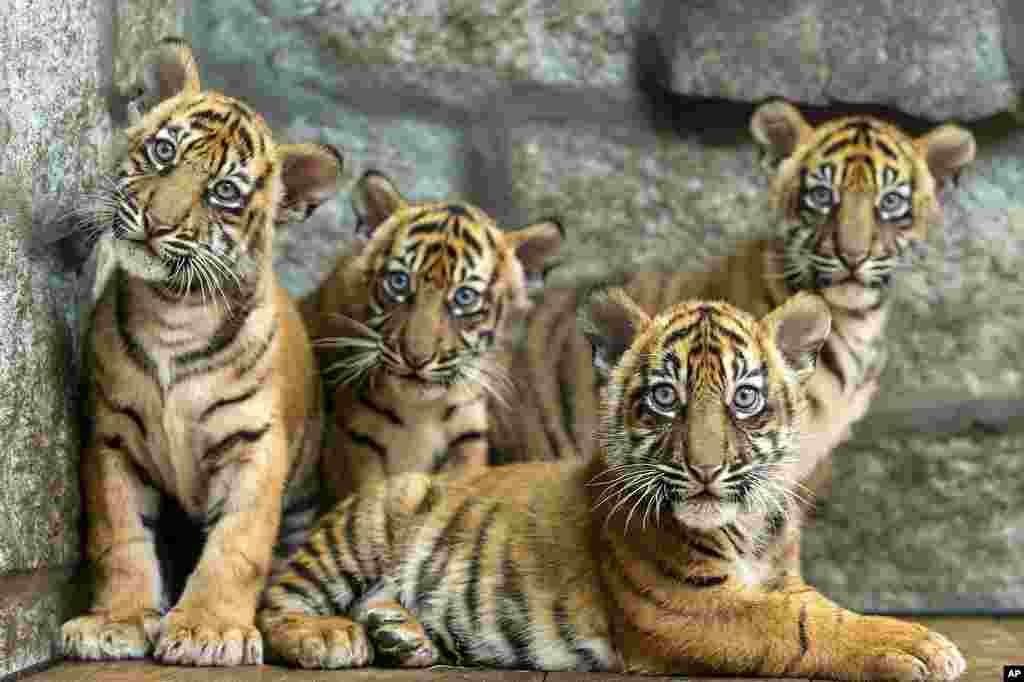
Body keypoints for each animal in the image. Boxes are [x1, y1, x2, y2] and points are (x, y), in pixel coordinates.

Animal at [59, 37, 343, 667]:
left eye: (225, 193)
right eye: (163, 151)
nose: (156, 224)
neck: (174, 311)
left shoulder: (254, 445)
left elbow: (236, 546)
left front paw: (209, 629)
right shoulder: (112, 437)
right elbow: (120, 535)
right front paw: (117, 620)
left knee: (289, 589)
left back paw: (320, 634)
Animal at [257, 287, 965, 680]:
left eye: (744, 398)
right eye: (664, 397)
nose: (705, 469)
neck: (747, 524)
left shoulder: (773, 578)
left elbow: (812, 604)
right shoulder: (685, 604)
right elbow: (803, 625)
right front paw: (918, 644)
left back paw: (400, 634)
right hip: (372, 519)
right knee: (276, 602)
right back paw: (331, 637)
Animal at [299, 170, 564, 504]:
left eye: (464, 297)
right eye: (399, 282)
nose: (416, 358)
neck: (420, 412)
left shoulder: (467, 435)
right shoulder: (356, 440)